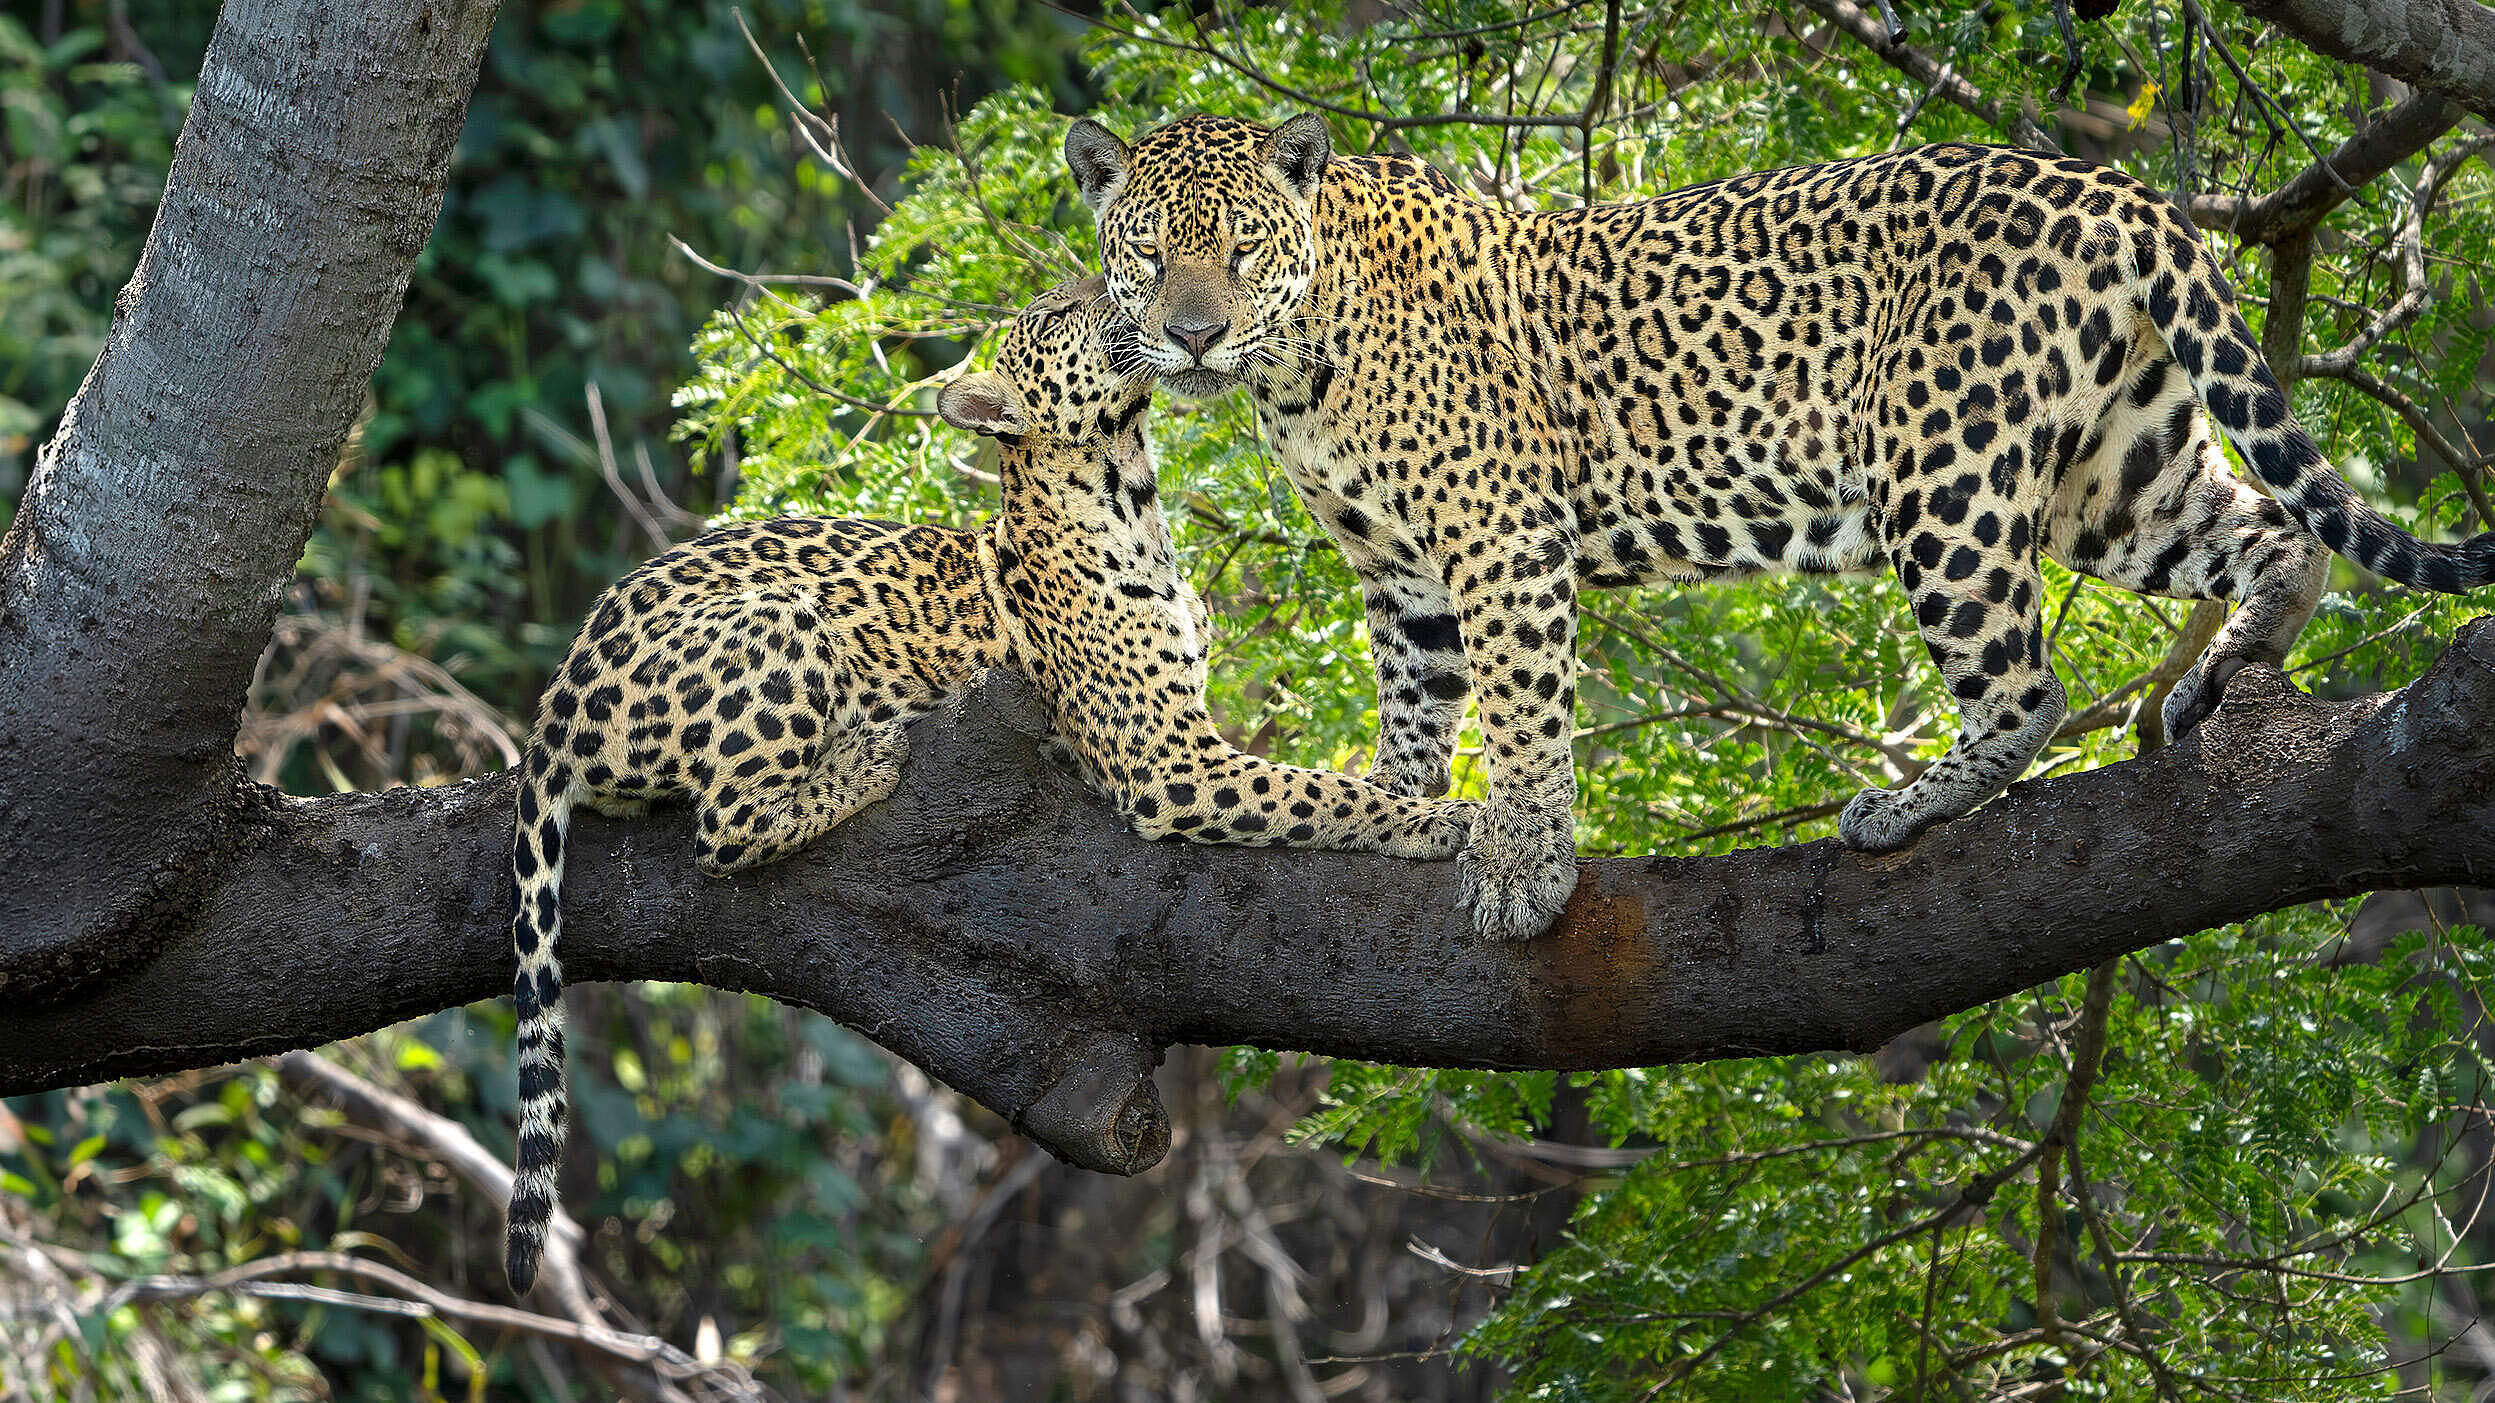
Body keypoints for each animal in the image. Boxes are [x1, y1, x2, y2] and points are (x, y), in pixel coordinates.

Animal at [503, 274, 1476, 1292]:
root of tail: (553, 699)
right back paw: (868, 753)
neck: (1130, 499)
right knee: (723, 827)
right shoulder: (1167, 760)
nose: (1117, 288)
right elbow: (1318, 791)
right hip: (779, 618)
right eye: (1052, 315)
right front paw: (1443, 819)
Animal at [1061, 113, 2495, 944]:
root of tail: (2108, 187)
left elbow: (1521, 714)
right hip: (2115, 467)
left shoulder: (1500, 536)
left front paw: (1522, 867)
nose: (1190, 334)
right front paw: (1387, 810)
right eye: (1150, 253)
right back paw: (2235, 658)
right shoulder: (1402, 570)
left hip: (1939, 462)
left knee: (2024, 681)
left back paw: (1905, 807)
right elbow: (1417, 710)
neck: (1293, 367)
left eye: (1242, 250)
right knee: (2275, 533)